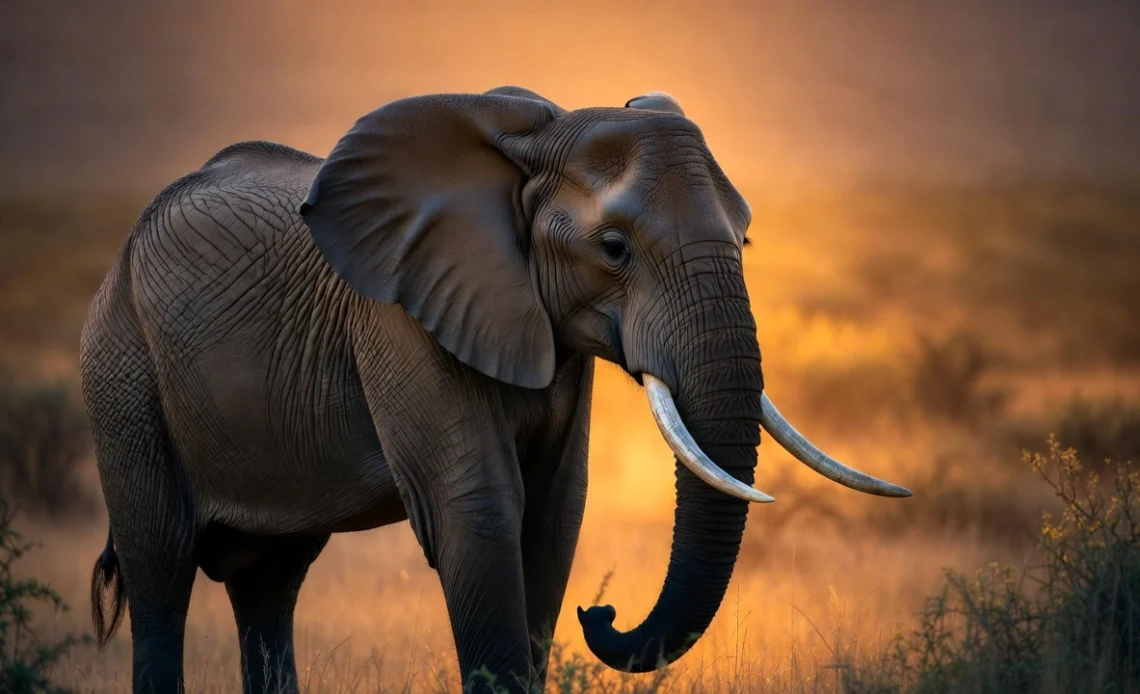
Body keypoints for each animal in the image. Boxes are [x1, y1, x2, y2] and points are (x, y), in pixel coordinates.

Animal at [80, 85, 911, 693]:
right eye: (614, 248)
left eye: (745, 239)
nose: (602, 612)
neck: (528, 149)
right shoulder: (402, 318)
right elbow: (478, 510)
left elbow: (553, 513)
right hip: (121, 371)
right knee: (161, 566)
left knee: (268, 582)